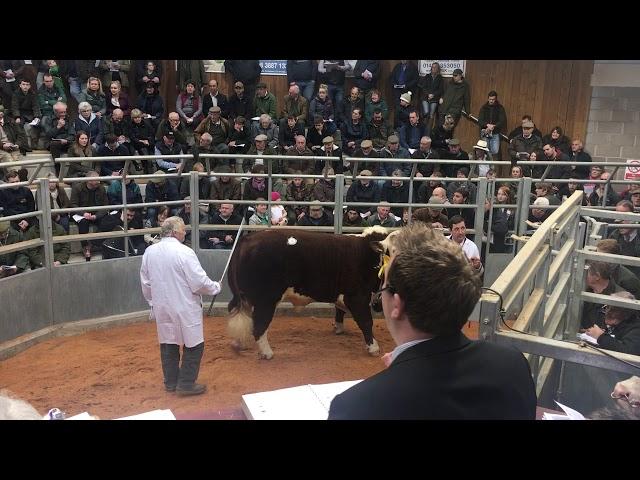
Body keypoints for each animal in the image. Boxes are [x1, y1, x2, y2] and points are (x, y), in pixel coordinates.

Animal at [228, 227, 392, 358]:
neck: (366, 255)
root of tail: (248, 238)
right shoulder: (357, 297)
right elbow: (366, 321)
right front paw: (374, 348)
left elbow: (339, 311)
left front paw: (338, 329)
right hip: (266, 299)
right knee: (260, 325)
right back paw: (266, 353)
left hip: (244, 297)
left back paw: (238, 343)